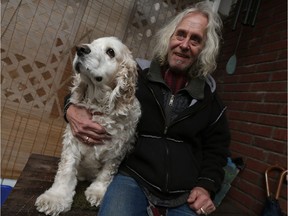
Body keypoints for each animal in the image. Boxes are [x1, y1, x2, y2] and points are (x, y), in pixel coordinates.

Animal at [35, 36, 141, 215]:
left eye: (110, 52)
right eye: (92, 43)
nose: (80, 49)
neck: (98, 105)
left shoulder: (117, 151)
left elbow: (106, 174)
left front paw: (98, 193)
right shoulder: (72, 143)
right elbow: (66, 171)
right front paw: (55, 198)